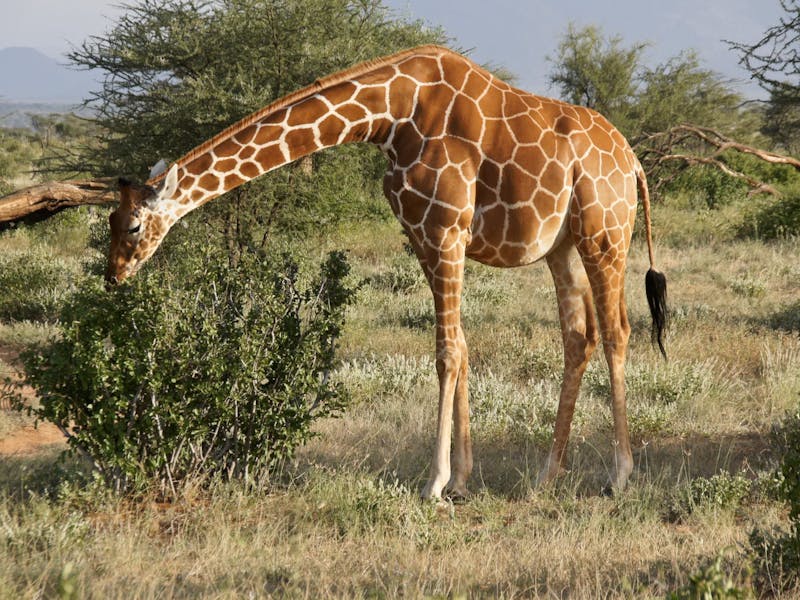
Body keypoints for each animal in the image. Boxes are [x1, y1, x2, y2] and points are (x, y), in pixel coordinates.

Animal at [106, 45, 668, 500]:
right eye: (111, 221)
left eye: (132, 225)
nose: (113, 275)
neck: (390, 116)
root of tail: (634, 163)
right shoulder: (423, 236)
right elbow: (463, 347)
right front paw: (462, 481)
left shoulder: (445, 230)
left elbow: (446, 351)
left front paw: (435, 482)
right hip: (561, 245)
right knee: (579, 336)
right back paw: (547, 476)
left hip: (604, 234)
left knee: (617, 331)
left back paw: (619, 476)